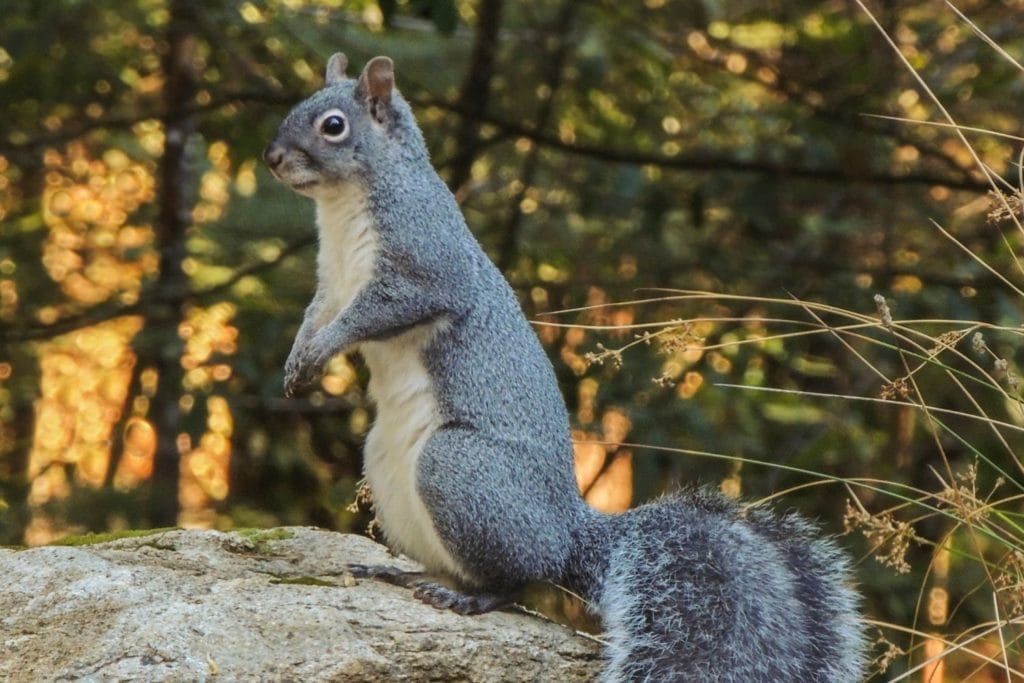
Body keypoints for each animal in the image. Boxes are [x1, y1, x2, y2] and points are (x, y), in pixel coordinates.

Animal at [264, 52, 867, 681]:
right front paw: (297, 361)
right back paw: (403, 572)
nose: (273, 158)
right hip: (386, 463)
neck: (344, 208)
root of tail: (567, 533)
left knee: (518, 579)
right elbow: (317, 317)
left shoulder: (424, 265)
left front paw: (320, 352)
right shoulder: (332, 286)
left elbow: (379, 312)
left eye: (333, 125)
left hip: (459, 468)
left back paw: (468, 597)